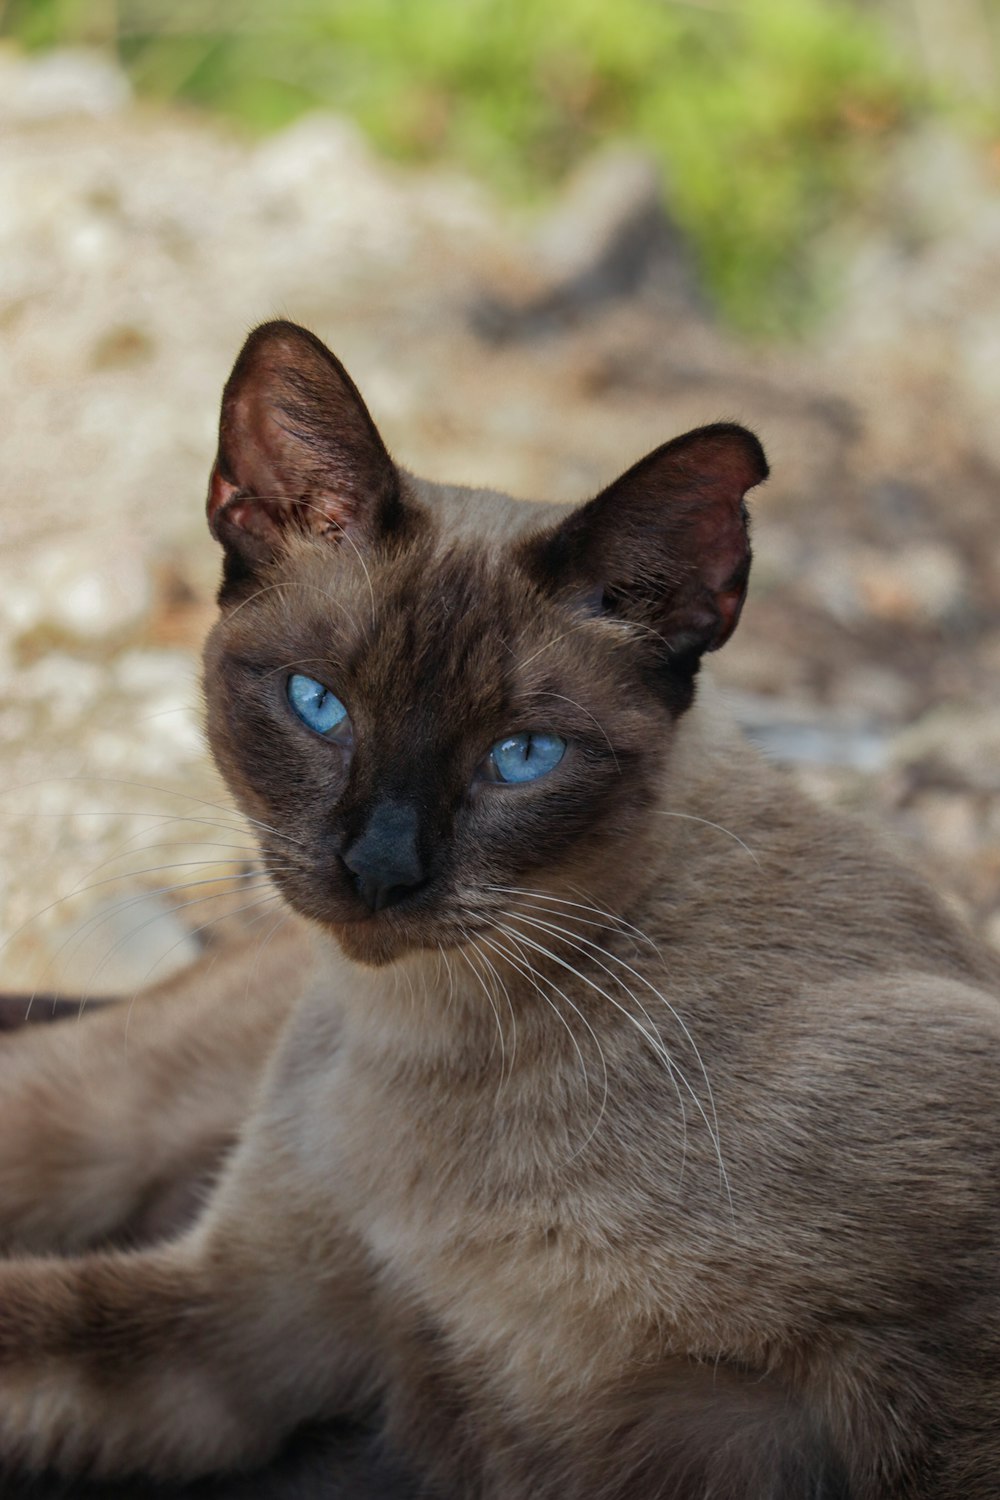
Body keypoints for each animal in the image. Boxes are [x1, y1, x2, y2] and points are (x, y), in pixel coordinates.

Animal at [1, 319, 1000, 1500]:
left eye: (521, 757)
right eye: (318, 705)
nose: (380, 869)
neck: (432, 1050)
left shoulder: (916, 1401)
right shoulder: (232, 1333)